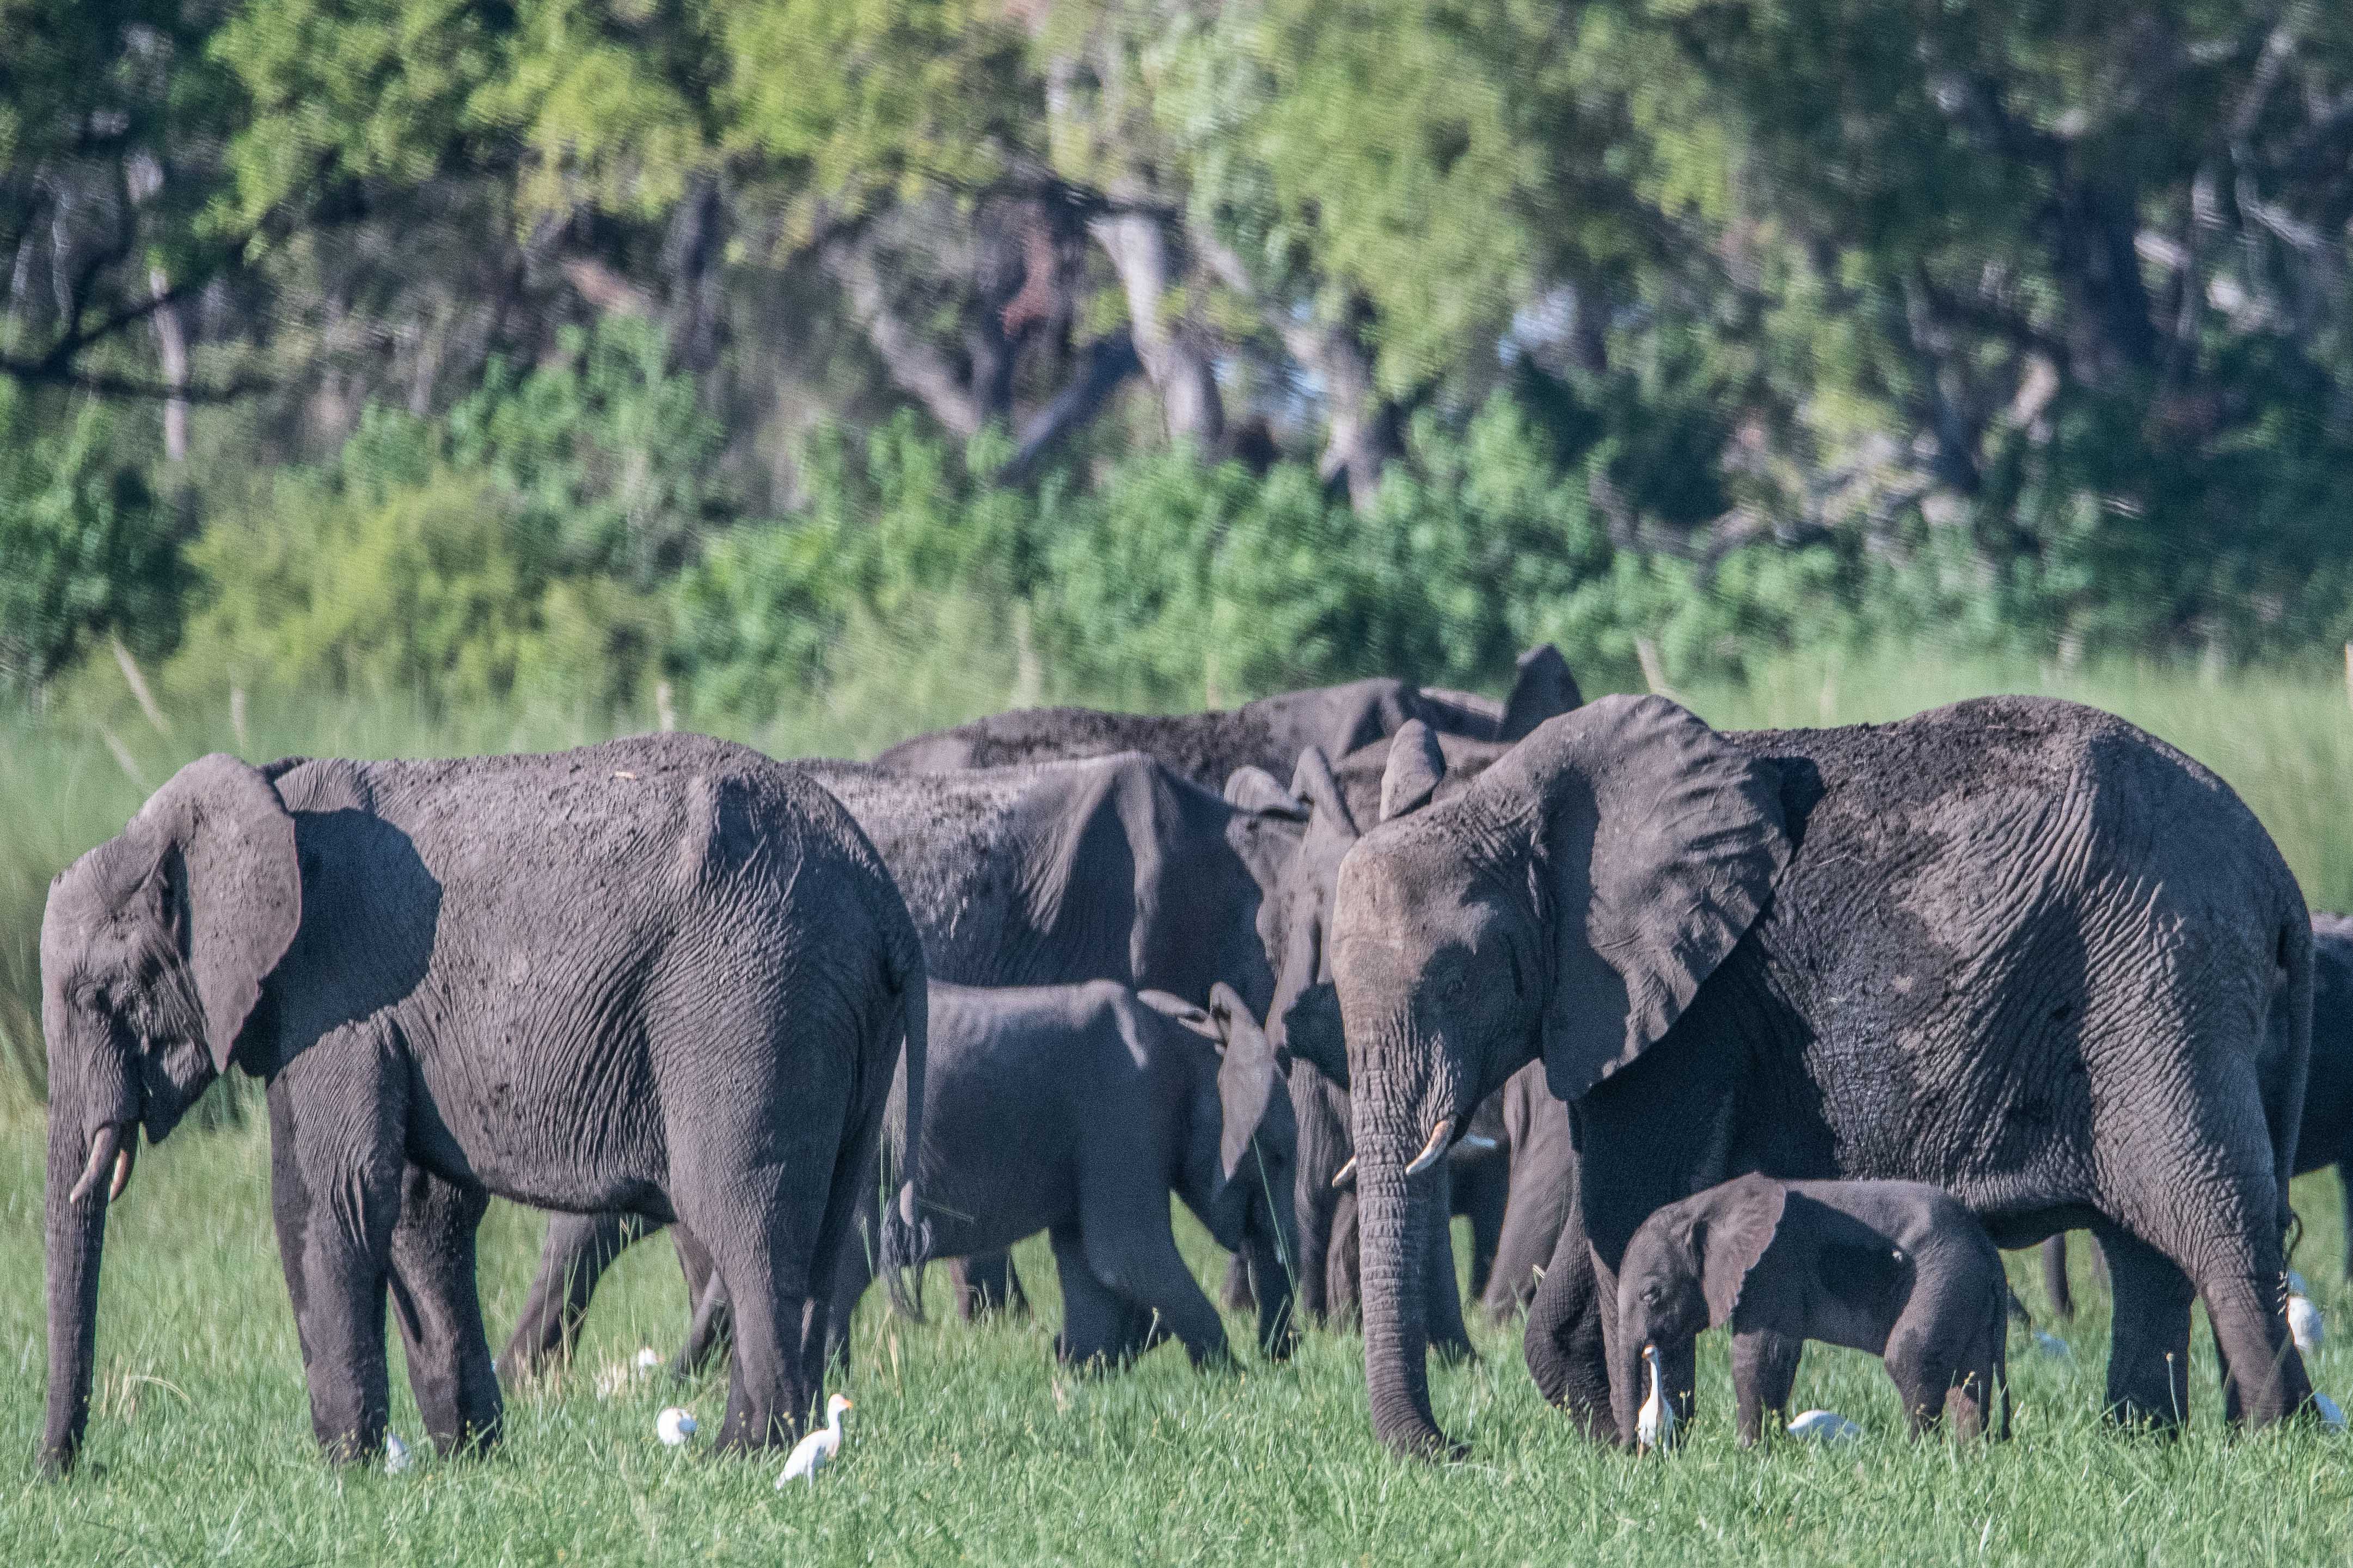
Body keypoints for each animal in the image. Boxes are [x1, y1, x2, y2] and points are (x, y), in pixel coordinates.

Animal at [880, 973, 1298, 1363]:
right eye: (1276, 1156)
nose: (1284, 1354)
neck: (1183, 1034)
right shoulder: (1122, 1103)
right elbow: (1126, 1253)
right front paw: (1232, 1378)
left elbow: (1087, 1263)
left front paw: (1082, 1370)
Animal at [1619, 1175, 2023, 1448]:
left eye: (1651, 1294)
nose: (1636, 1448)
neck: (1708, 1204)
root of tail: (1989, 1248)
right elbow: (1777, 1356)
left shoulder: (1774, 1265)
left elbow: (1760, 1353)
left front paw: (1751, 1454)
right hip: (1967, 1292)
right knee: (1972, 1376)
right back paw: (1971, 1453)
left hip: (1945, 1278)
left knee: (1910, 1357)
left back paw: (1919, 1452)